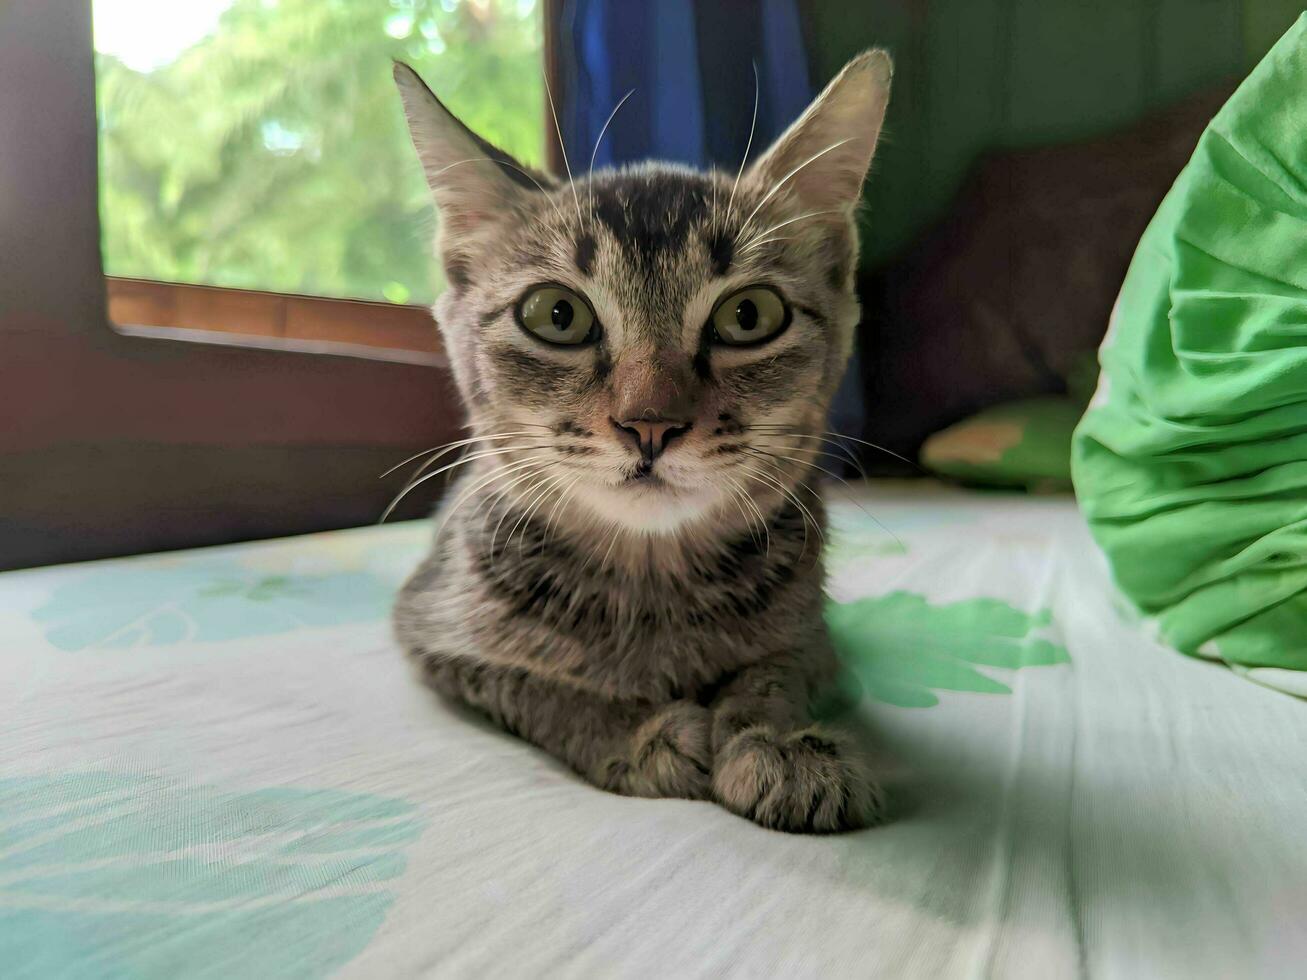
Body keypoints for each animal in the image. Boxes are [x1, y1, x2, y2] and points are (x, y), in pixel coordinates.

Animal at [392, 51, 893, 836]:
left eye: (749, 315)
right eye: (555, 314)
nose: (649, 422)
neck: (651, 583)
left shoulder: (813, 639)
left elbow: (774, 672)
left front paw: (778, 743)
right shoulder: (432, 630)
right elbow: (532, 683)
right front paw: (638, 732)